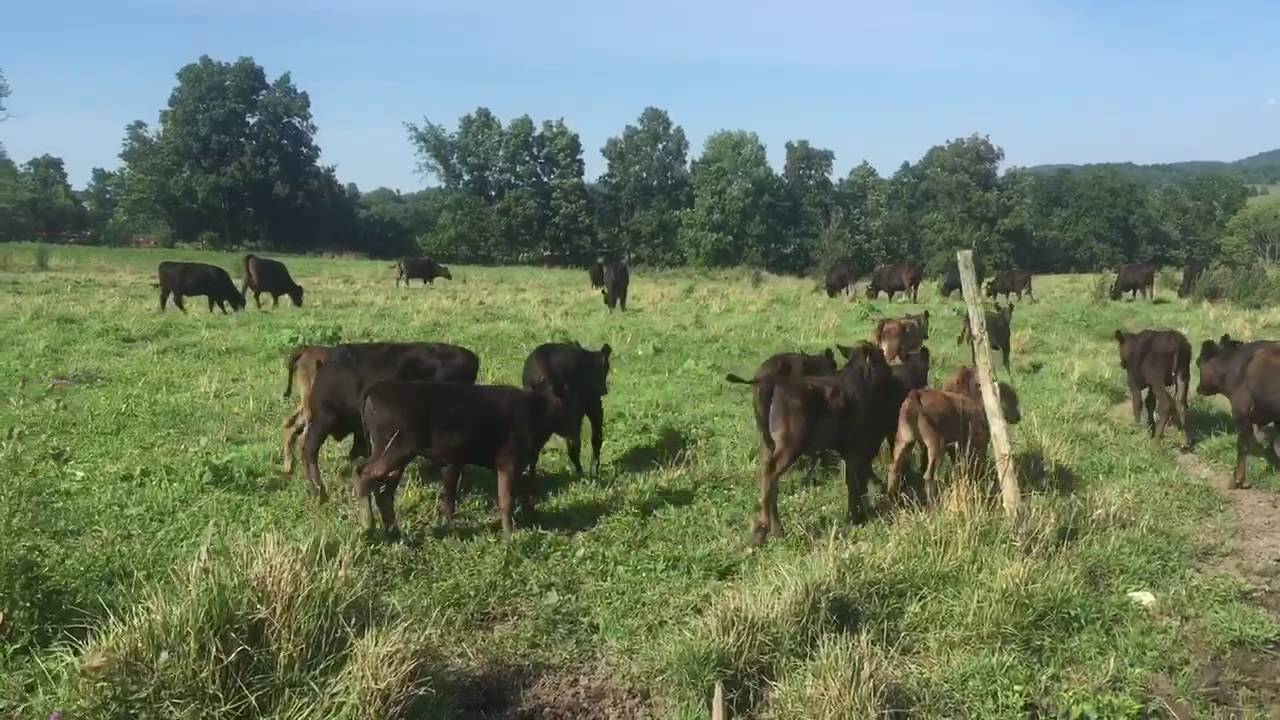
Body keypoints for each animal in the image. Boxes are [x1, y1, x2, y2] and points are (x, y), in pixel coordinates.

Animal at [354, 381, 563, 539]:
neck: (535, 408)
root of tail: (376, 388)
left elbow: (523, 494)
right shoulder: (508, 463)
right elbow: (506, 500)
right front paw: (509, 536)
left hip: (395, 456)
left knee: (382, 490)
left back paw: (392, 530)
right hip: (395, 449)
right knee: (364, 474)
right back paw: (367, 524)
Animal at [521, 342, 612, 479]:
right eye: (606, 368)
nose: (604, 390)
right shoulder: (594, 405)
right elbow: (596, 438)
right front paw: (594, 471)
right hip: (572, 420)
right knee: (574, 447)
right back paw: (581, 474)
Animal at [750, 341, 894, 545]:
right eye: (881, 355)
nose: (890, 370)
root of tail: (773, 385)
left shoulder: (847, 450)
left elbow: (854, 480)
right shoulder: (857, 447)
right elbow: (856, 482)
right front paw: (856, 516)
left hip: (768, 445)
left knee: (766, 477)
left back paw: (761, 530)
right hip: (789, 445)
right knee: (771, 475)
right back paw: (776, 529)